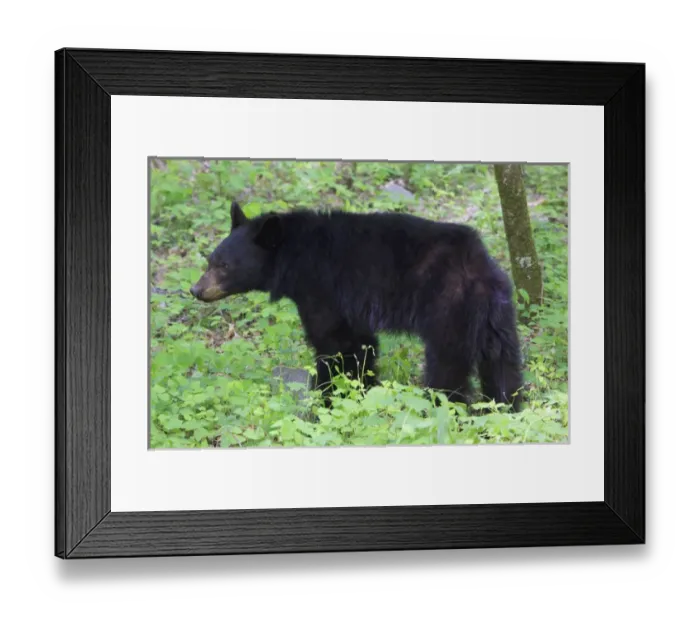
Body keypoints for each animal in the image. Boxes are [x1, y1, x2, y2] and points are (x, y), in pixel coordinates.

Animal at [190, 201, 524, 411]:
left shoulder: (323, 290)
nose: (196, 290)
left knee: (447, 367)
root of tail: (477, 263)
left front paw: (328, 397)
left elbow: (335, 345)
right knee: (503, 366)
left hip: (449, 307)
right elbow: (362, 345)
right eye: (210, 260)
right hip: (498, 316)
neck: (295, 255)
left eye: (223, 265)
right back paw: (505, 409)